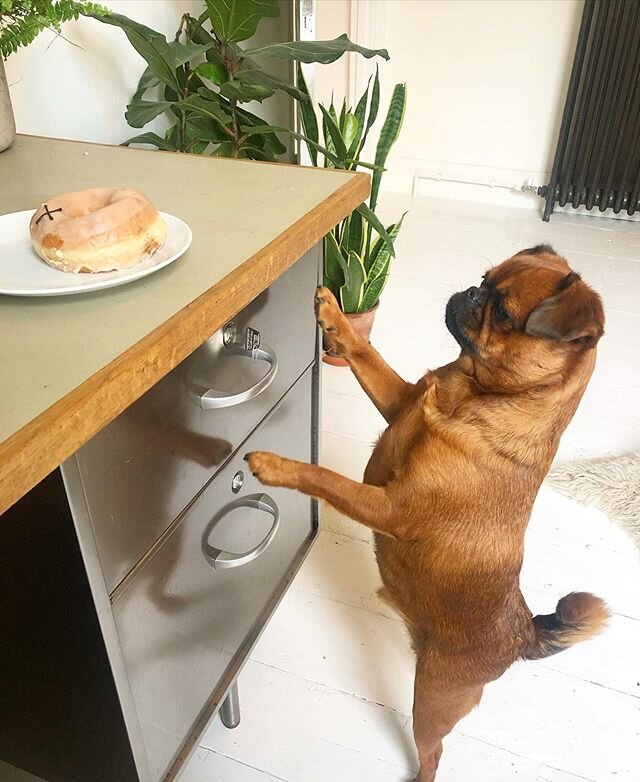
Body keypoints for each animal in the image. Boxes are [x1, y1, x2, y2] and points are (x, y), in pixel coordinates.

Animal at [246, 247, 608, 782]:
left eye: (504, 313)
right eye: (484, 279)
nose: (472, 293)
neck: (470, 393)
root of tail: (524, 632)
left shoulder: (388, 506)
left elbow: (327, 478)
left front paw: (276, 465)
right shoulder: (398, 402)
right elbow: (365, 353)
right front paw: (334, 315)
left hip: (434, 699)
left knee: (433, 752)